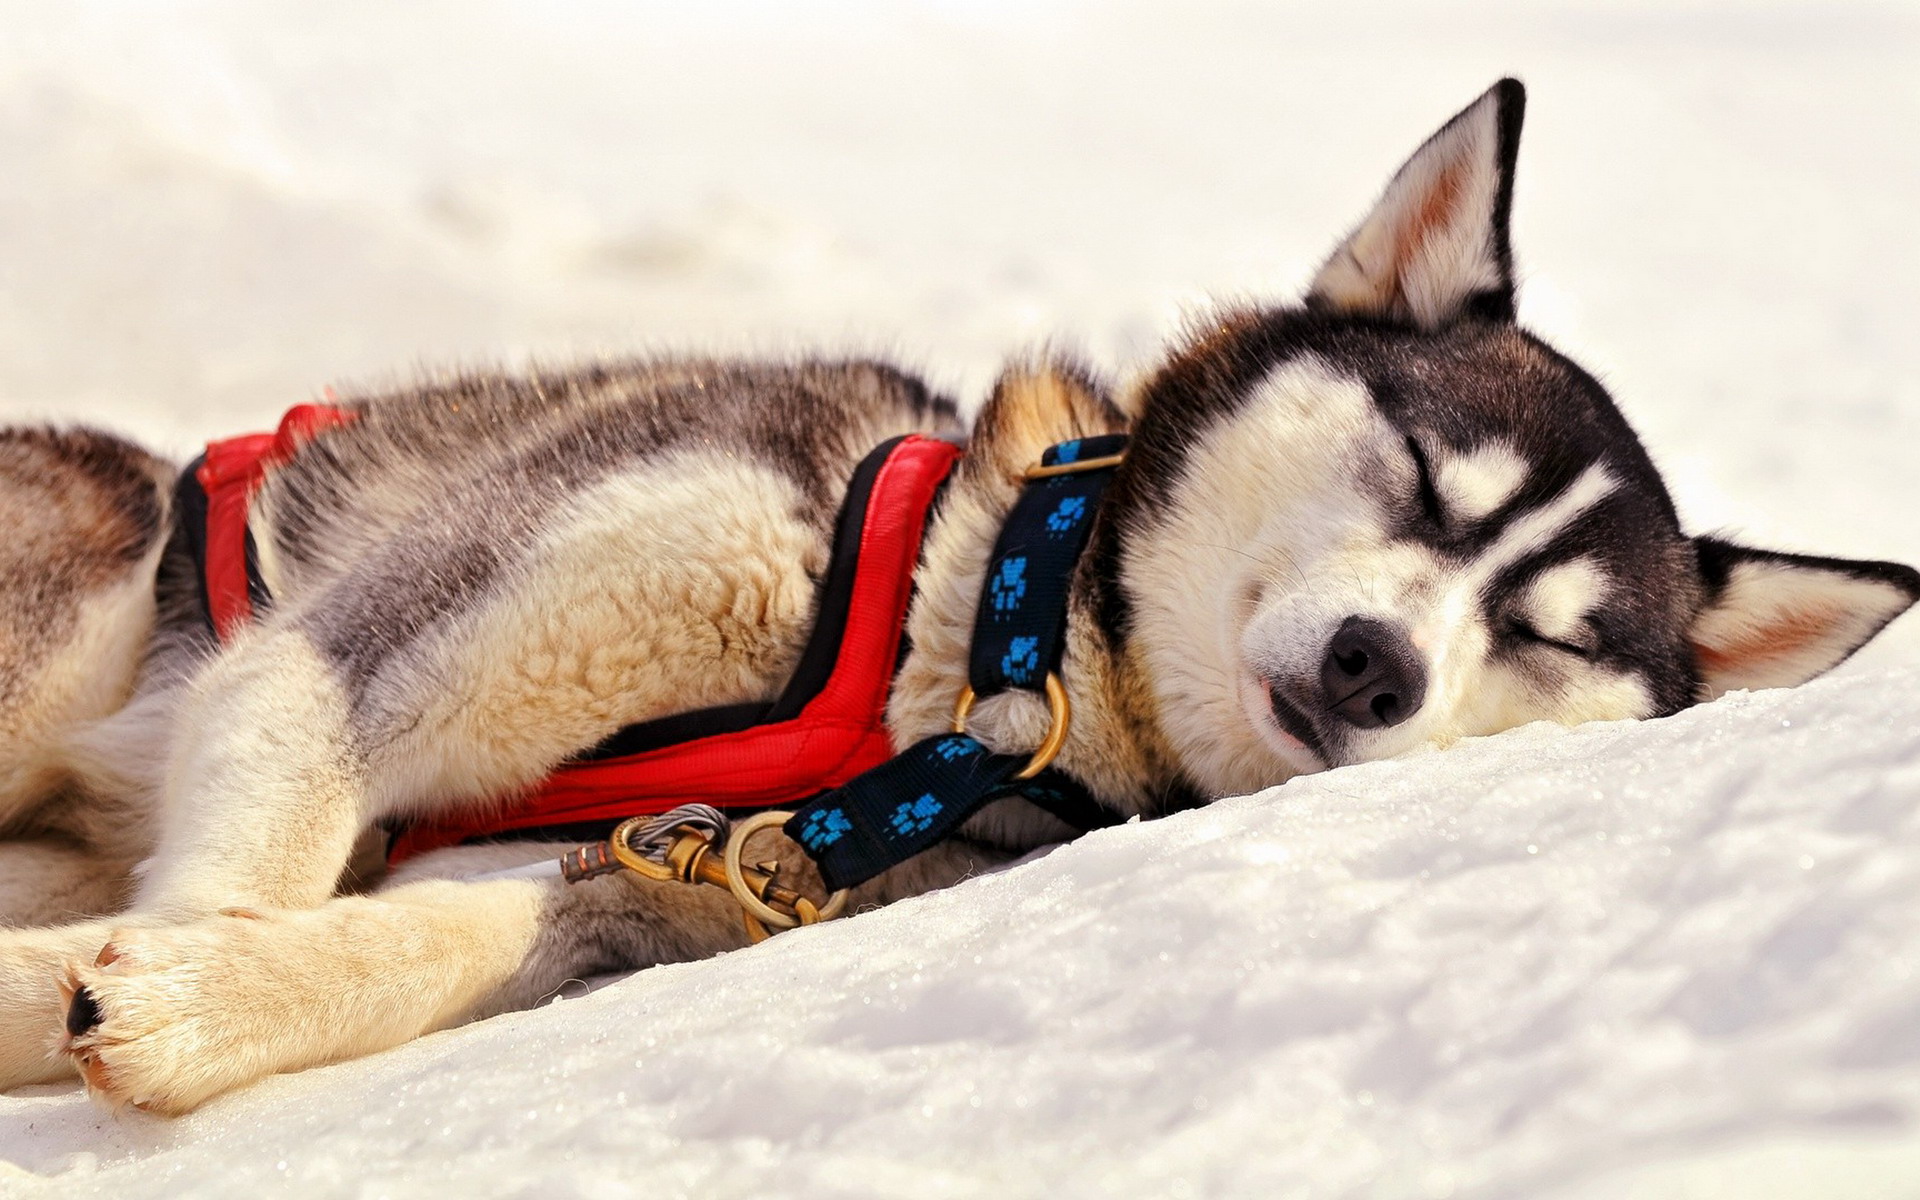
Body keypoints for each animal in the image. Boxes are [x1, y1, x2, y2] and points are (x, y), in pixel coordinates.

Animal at [0, 79, 1912, 1113]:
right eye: (1432, 475)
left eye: (1553, 636)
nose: (1382, 669)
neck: (975, 658)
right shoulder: (368, 651)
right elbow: (264, 824)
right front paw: (135, 990)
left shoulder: (705, 877)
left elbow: (426, 933)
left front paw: (177, 1006)